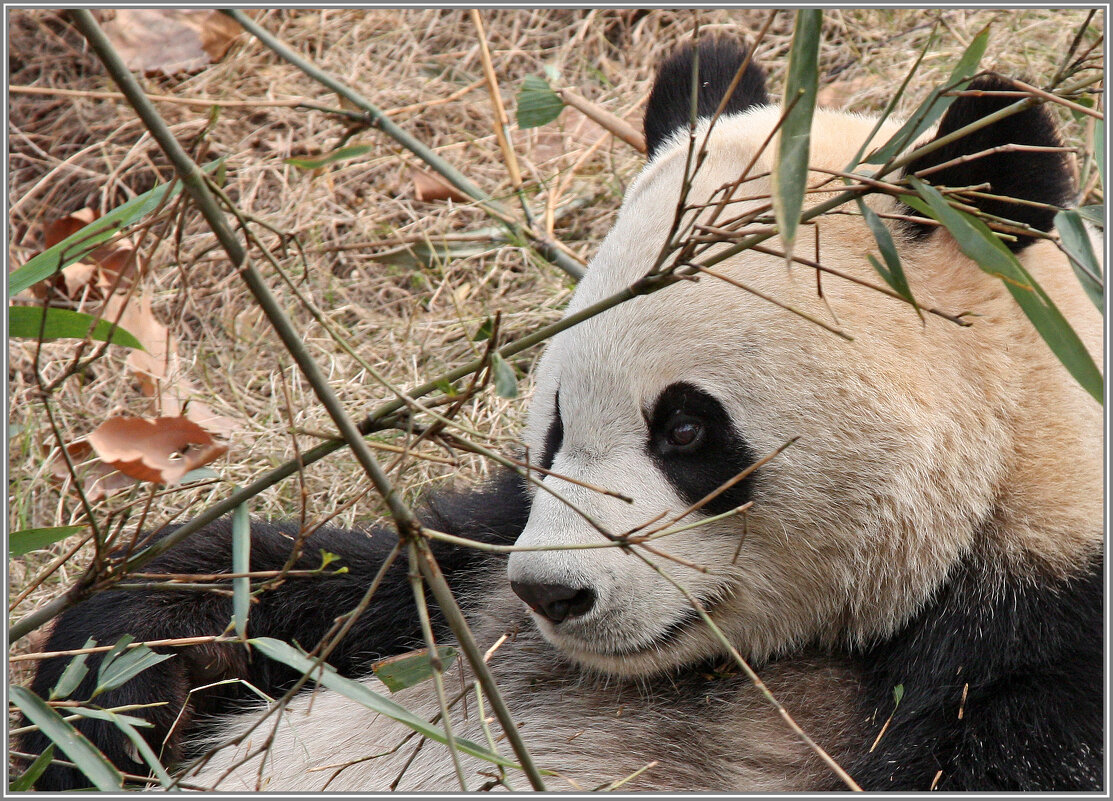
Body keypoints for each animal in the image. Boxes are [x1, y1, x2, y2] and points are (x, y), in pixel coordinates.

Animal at [19, 35, 1104, 787]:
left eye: (686, 428)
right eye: (553, 423)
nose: (553, 594)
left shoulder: (1036, 654)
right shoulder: (465, 572)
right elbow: (320, 576)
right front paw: (116, 682)